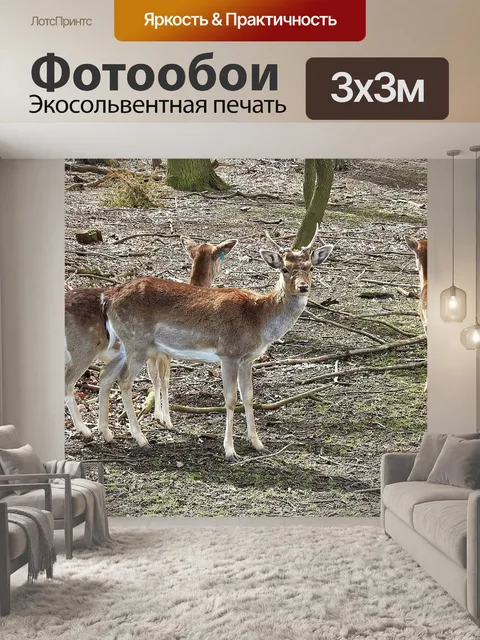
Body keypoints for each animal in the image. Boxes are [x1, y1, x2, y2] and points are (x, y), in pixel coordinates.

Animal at [65, 236, 237, 439]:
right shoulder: (165, 354)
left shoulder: (153, 355)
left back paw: (103, 431)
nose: (221, 272)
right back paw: (85, 429)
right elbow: (164, 380)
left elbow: (154, 378)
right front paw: (167, 420)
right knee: (69, 383)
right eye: (219, 257)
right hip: (83, 348)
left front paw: (157, 415)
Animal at [97, 228, 334, 460]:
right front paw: (230, 450)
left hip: (123, 344)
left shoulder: (248, 359)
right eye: (285, 269)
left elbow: (248, 397)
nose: (303, 287)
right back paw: (141, 439)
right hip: (138, 342)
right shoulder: (229, 353)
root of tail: (108, 298)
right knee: (124, 380)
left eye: (311, 267)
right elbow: (230, 399)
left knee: (105, 375)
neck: (259, 321)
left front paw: (258, 444)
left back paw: (107, 434)